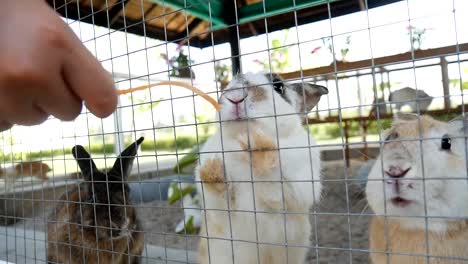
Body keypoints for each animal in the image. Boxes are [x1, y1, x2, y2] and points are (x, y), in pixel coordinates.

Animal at [196, 72, 328, 264]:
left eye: (278, 86)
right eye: (229, 85)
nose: (235, 97)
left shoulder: (292, 188)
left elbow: (270, 180)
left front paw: (257, 143)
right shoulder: (216, 206)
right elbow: (219, 194)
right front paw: (212, 168)